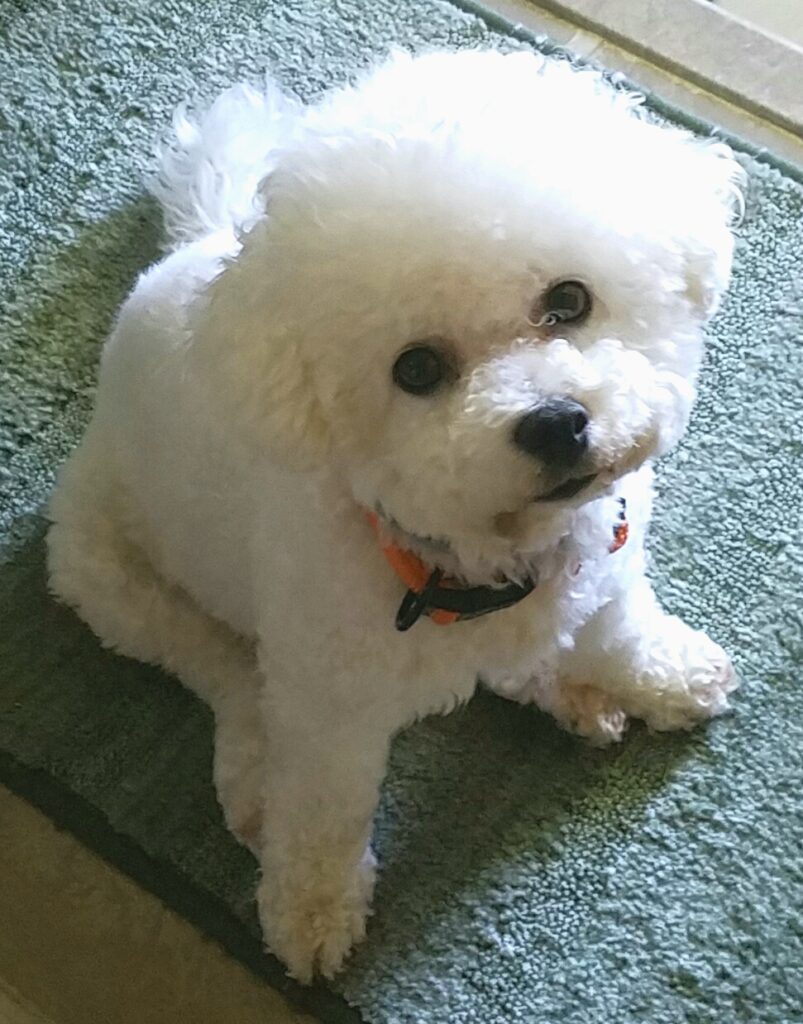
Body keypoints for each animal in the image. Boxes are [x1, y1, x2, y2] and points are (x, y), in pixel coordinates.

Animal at [47, 49, 743, 981]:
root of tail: (202, 239)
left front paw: (663, 673)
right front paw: (309, 912)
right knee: (224, 672)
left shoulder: (607, 559)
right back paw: (254, 770)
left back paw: (564, 686)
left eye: (568, 300)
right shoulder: (328, 711)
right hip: (111, 575)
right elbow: (323, 814)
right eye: (415, 370)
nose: (555, 423)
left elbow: (621, 626)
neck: (479, 568)